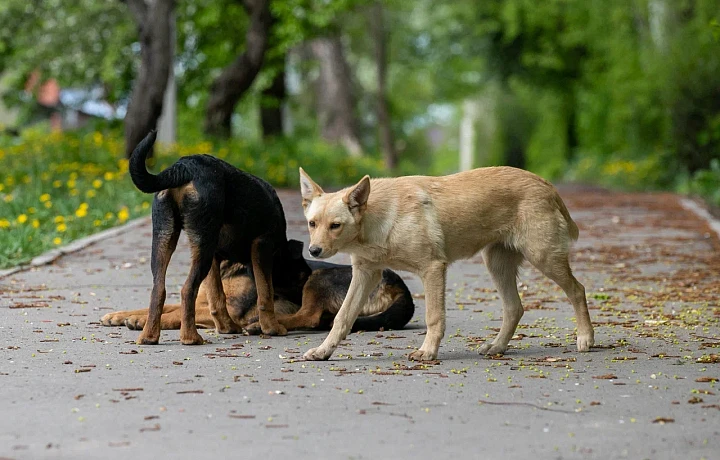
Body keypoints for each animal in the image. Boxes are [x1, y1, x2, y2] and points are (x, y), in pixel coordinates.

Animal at [102, 253, 416, 336]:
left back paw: (261, 325)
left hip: (319, 276)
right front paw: (120, 316)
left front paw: (140, 323)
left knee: (310, 317)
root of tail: (398, 282)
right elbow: (162, 307)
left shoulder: (227, 311)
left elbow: (176, 314)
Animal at [296, 167, 592, 362]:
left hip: (543, 258)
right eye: (312, 223)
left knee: (578, 291)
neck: (378, 219)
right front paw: (323, 351)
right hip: (497, 265)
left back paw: (586, 338)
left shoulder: (432, 269)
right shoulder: (365, 274)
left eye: (335, 226)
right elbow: (342, 318)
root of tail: (545, 184)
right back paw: (497, 347)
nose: (314, 250)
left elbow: (433, 317)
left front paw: (428, 352)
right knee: (514, 308)